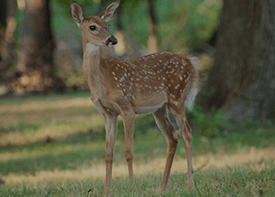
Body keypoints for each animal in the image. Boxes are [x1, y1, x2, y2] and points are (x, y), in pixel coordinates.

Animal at [71, 0, 201, 196]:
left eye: (108, 25)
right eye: (92, 27)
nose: (113, 40)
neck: (101, 80)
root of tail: (190, 62)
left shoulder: (127, 107)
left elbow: (128, 150)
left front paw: (132, 188)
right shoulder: (108, 113)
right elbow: (108, 152)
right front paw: (106, 191)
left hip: (177, 97)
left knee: (187, 133)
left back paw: (190, 184)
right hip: (159, 108)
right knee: (172, 136)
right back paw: (162, 187)